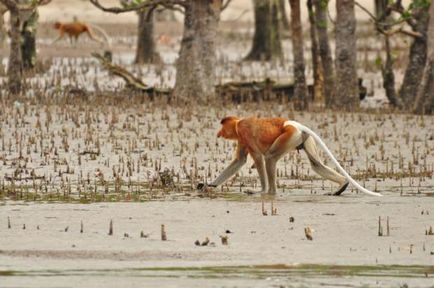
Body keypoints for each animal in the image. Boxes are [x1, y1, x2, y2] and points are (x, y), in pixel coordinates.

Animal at [200, 116, 380, 196]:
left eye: (222, 127)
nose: (218, 133)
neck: (238, 123)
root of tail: (293, 124)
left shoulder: (245, 133)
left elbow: (257, 157)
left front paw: (260, 190)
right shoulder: (242, 139)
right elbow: (239, 160)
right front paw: (208, 185)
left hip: (289, 136)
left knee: (269, 158)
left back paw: (268, 192)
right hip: (303, 138)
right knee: (316, 164)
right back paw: (342, 185)